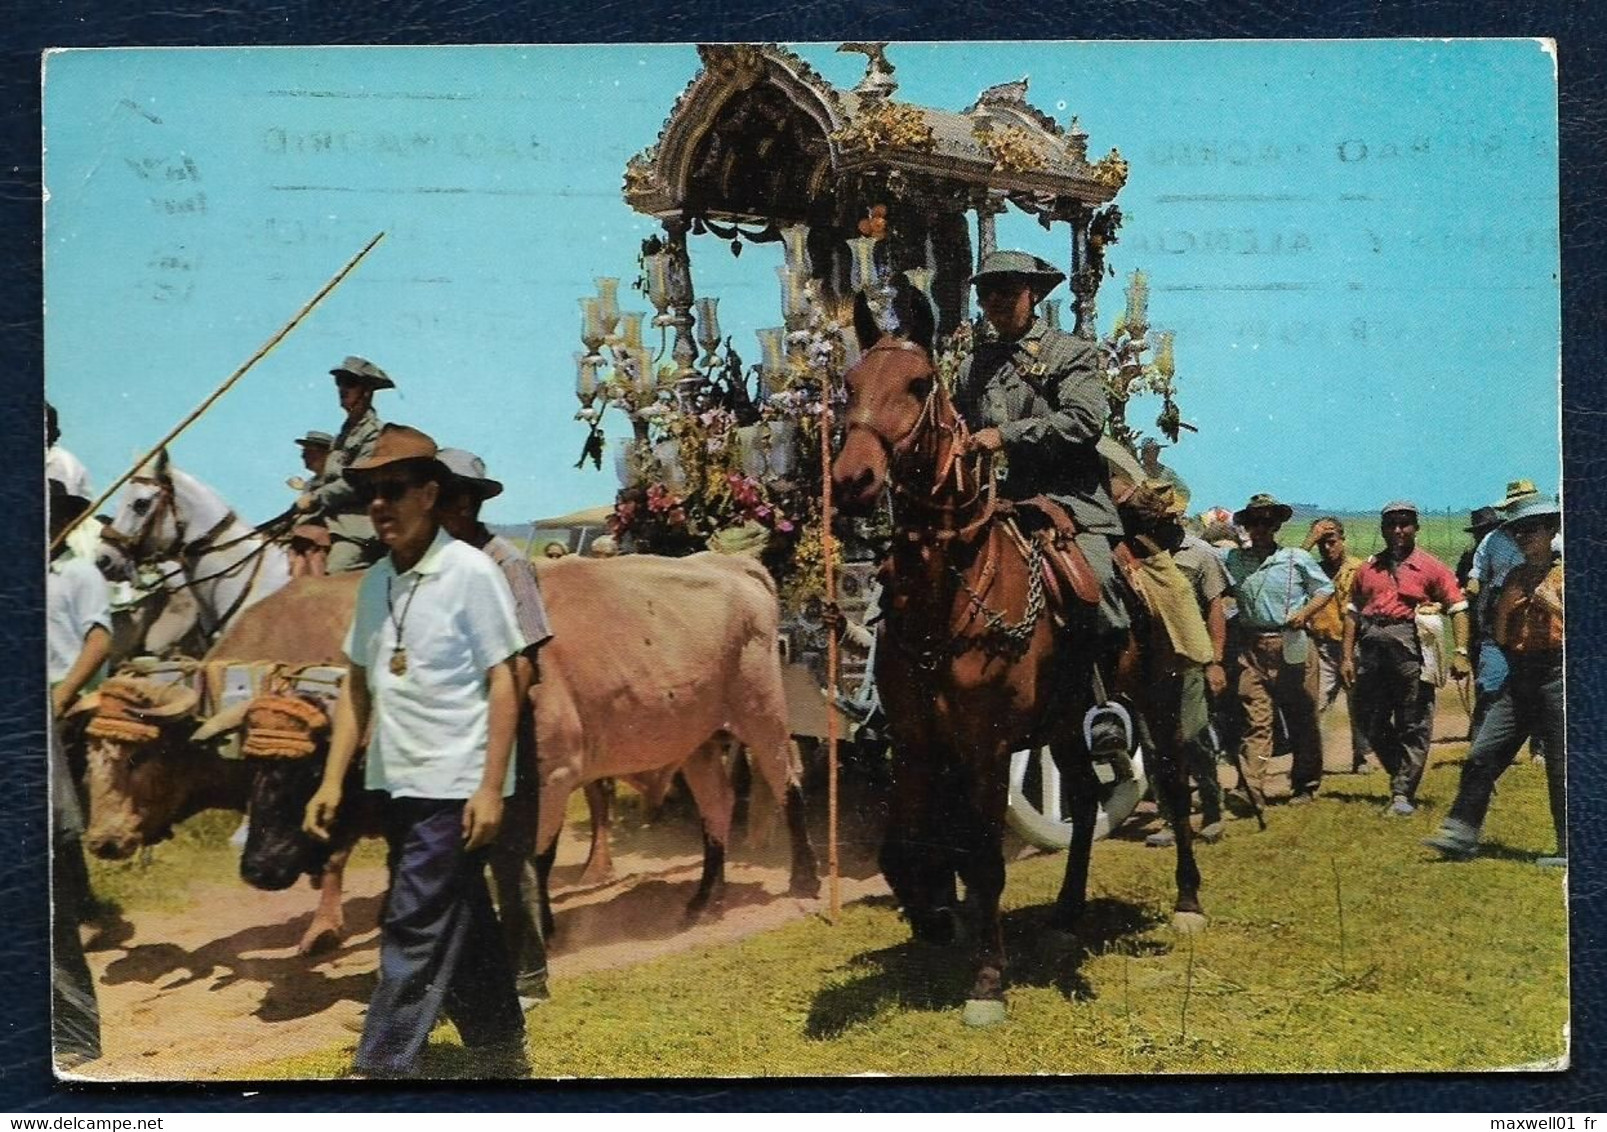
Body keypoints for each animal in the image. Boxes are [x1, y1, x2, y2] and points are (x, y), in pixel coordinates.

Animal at [835, 328, 1202, 1029]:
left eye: (918, 384)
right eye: (850, 383)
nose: (852, 479)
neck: (948, 597)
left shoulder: (985, 748)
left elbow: (984, 859)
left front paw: (986, 979)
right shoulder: (917, 745)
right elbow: (901, 847)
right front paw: (935, 921)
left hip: (1158, 699)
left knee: (1172, 780)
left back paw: (1188, 902)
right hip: (1063, 727)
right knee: (1083, 802)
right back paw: (1065, 916)